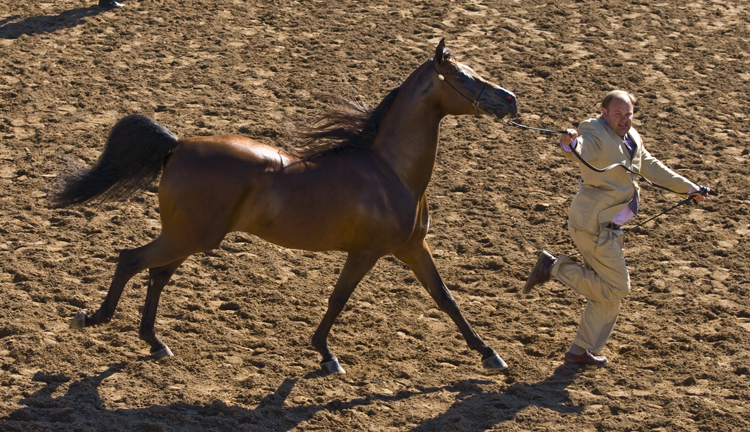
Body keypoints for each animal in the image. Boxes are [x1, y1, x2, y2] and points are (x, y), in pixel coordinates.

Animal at [54, 39, 518, 374]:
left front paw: (489, 354)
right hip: (189, 237)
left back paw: (155, 342)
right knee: (131, 260)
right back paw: (93, 319)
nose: (510, 99)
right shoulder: (367, 252)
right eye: (462, 76)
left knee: (157, 274)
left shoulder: (413, 248)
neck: (391, 171)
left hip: (188, 238)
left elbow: (446, 299)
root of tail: (178, 145)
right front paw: (327, 356)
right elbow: (338, 299)